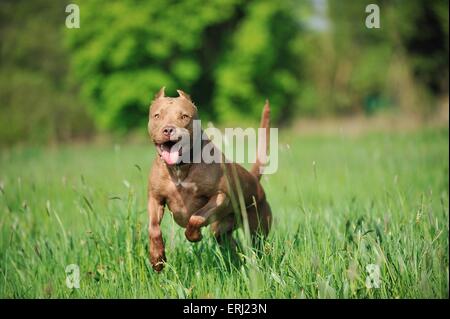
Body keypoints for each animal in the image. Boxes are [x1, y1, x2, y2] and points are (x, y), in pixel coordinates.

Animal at [148, 87, 272, 272]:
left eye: (184, 116)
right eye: (157, 116)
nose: (169, 130)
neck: (180, 168)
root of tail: (255, 181)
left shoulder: (221, 197)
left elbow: (196, 217)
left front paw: (194, 235)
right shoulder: (155, 198)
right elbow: (153, 228)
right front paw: (157, 258)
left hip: (257, 229)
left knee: (257, 246)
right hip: (221, 231)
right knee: (229, 243)